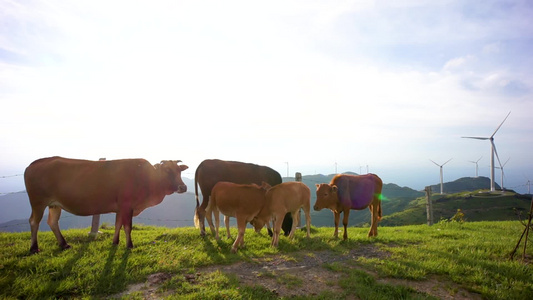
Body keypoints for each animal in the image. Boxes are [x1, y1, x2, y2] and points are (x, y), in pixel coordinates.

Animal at [23, 157, 188, 253]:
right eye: (167, 170)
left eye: (179, 170)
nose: (183, 187)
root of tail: (34, 163)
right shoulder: (127, 205)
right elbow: (127, 227)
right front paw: (129, 245)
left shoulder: (120, 208)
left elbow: (118, 225)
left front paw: (115, 242)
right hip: (38, 202)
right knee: (34, 221)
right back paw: (34, 248)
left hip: (54, 204)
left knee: (52, 222)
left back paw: (64, 244)